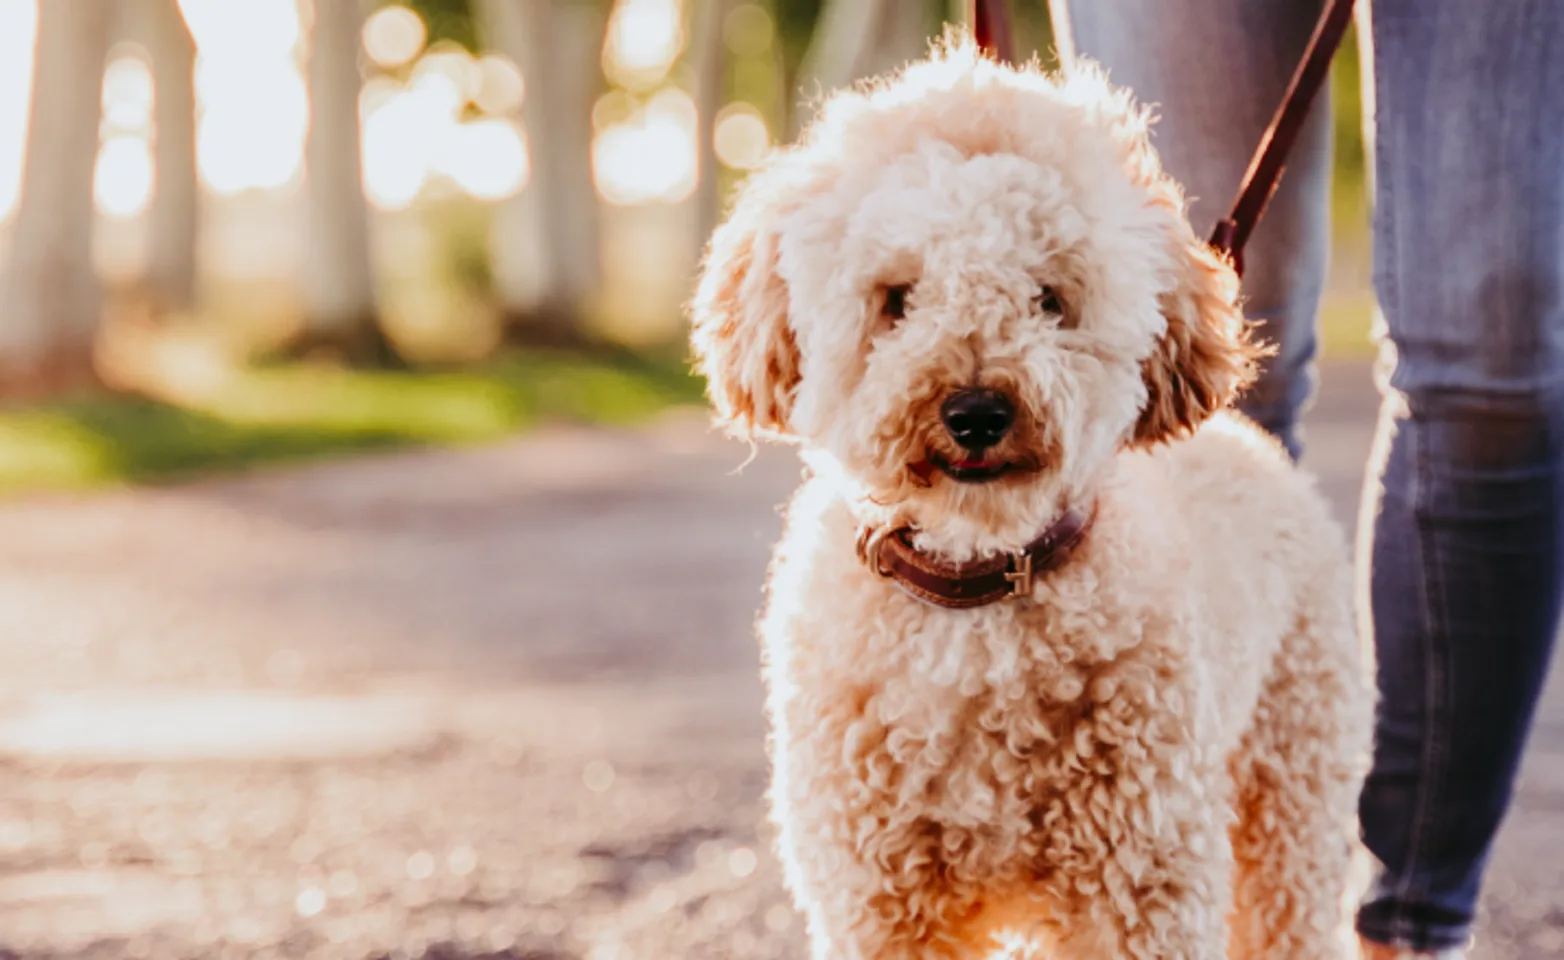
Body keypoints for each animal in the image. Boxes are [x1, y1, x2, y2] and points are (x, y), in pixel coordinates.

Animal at [694, 37, 1370, 960]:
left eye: (1050, 298)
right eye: (897, 299)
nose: (976, 411)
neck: (975, 589)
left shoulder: (1143, 884)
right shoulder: (877, 896)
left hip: (1292, 787)